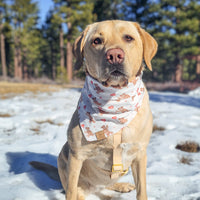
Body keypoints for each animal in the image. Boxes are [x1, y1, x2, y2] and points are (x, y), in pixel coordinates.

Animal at [57, 19, 157, 199]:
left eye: (128, 38)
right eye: (97, 41)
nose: (114, 55)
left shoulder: (140, 154)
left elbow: (142, 191)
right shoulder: (76, 155)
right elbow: (71, 190)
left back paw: (121, 185)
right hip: (62, 155)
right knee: (77, 189)